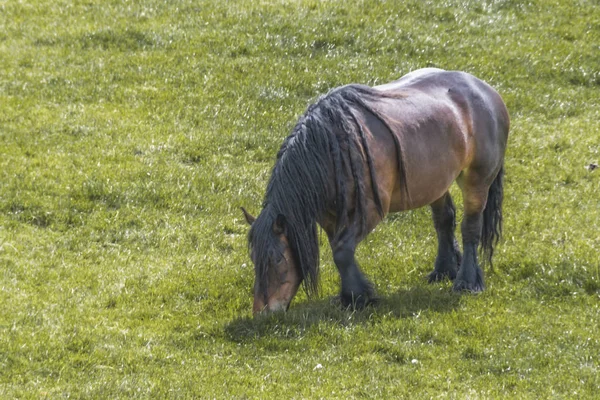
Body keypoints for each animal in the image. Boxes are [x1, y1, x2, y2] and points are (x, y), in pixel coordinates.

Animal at [241, 68, 508, 312]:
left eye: (277, 258)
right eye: (253, 258)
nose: (263, 312)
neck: (331, 149)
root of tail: (486, 89)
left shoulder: (369, 212)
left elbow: (342, 252)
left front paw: (359, 296)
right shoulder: (330, 217)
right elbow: (339, 251)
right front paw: (351, 295)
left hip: (477, 181)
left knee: (470, 228)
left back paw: (467, 282)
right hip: (436, 183)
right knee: (445, 220)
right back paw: (444, 271)